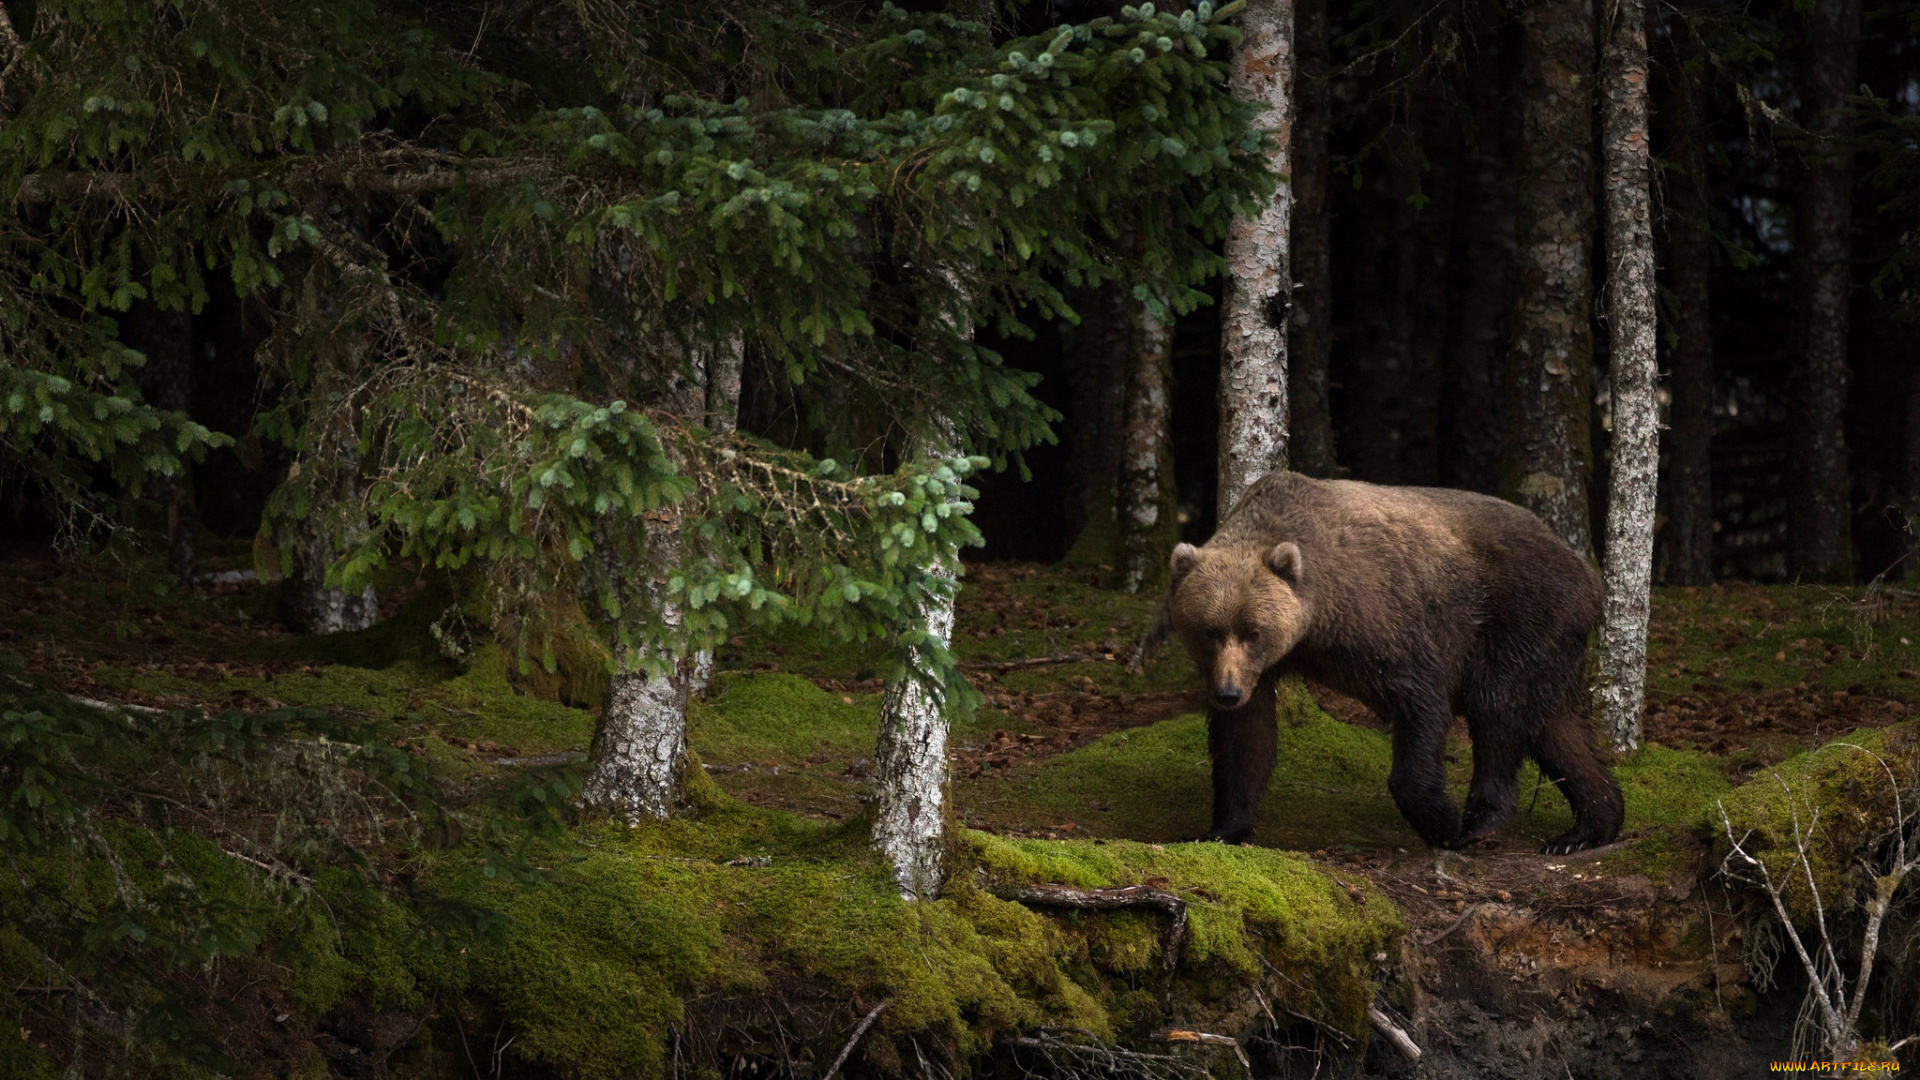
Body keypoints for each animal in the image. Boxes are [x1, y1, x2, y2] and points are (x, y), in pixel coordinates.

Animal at [1159, 468, 1628, 849]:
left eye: (1253, 632)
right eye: (1209, 630)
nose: (1227, 692)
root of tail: (1588, 576)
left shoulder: (1384, 618)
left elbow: (1419, 700)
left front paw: (1441, 819)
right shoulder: (1263, 669)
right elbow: (1245, 739)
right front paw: (1222, 829)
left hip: (1523, 614)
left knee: (1497, 707)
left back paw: (1480, 821)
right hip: (1551, 647)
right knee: (1556, 729)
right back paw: (1588, 828)